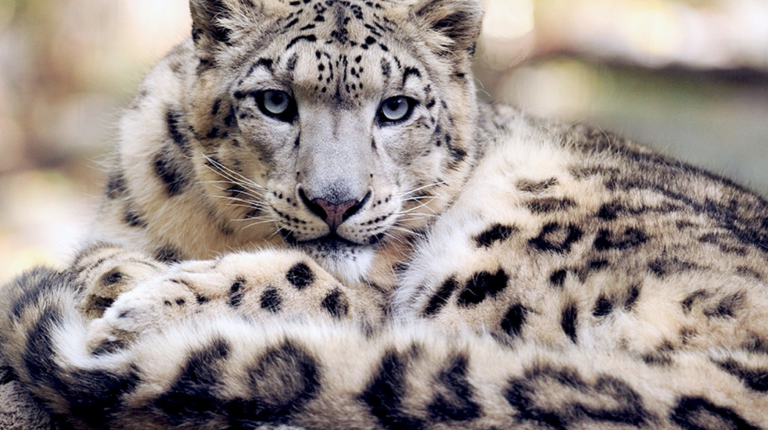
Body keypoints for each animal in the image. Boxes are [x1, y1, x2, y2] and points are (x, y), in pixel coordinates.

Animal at [1, 0, 768, 428]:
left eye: (396, 107)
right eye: (274, 100)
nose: (336, 202)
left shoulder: (373, 290)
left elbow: (303, 281)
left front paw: (142, 307)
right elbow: (100, 256)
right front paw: (122, 282)